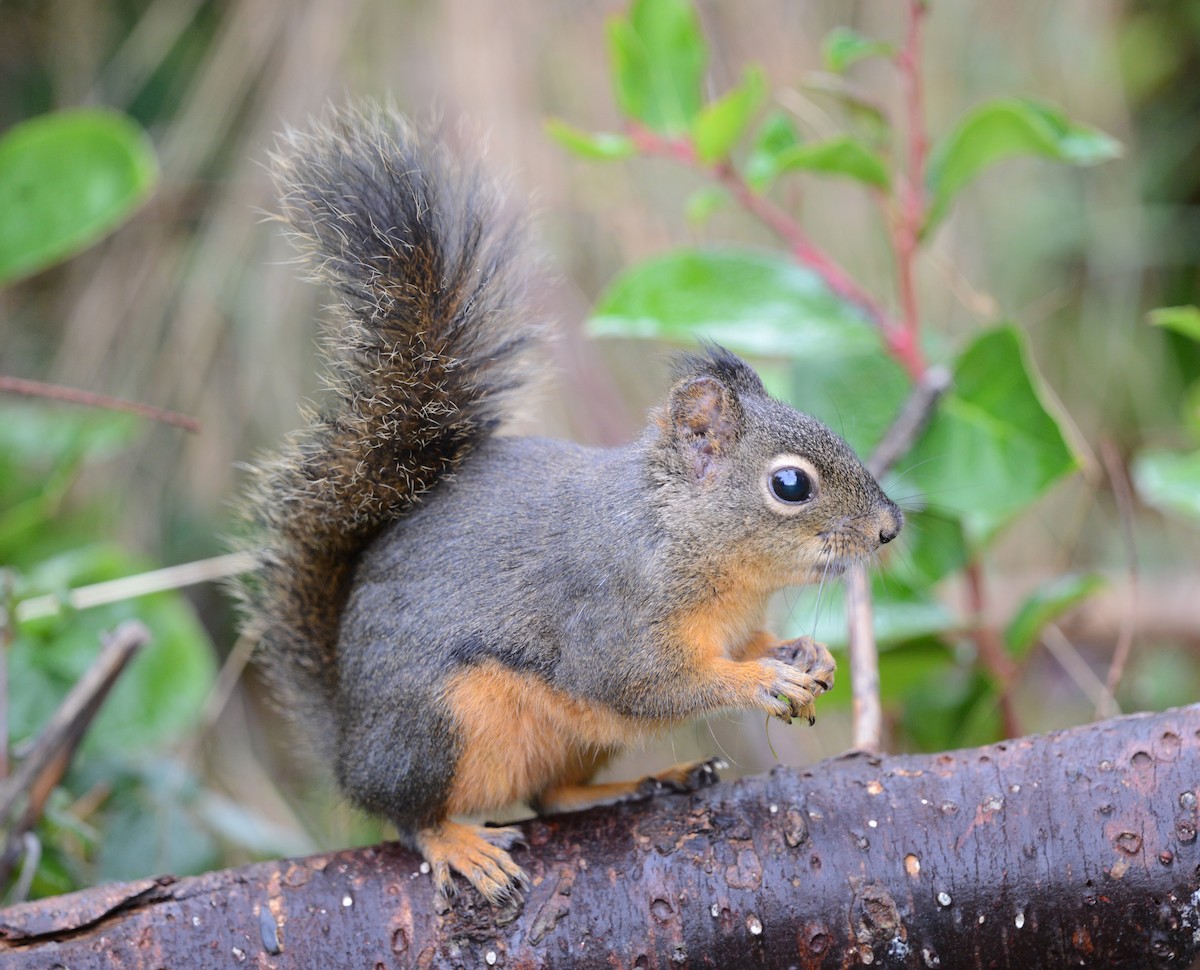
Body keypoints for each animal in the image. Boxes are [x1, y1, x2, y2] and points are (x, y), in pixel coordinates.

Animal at [235, 103, 903, 906]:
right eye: (791, 485)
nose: (890, 528)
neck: (690, 543)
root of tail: (347, 745)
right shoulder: (611, 619)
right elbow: (650, 682)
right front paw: (760, 678)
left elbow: (746, 646)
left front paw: (804, 651)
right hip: (437, 726)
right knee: (407, 815)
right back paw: (459, 843)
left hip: (578, 737)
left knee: (552, 795)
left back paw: (653, 780)